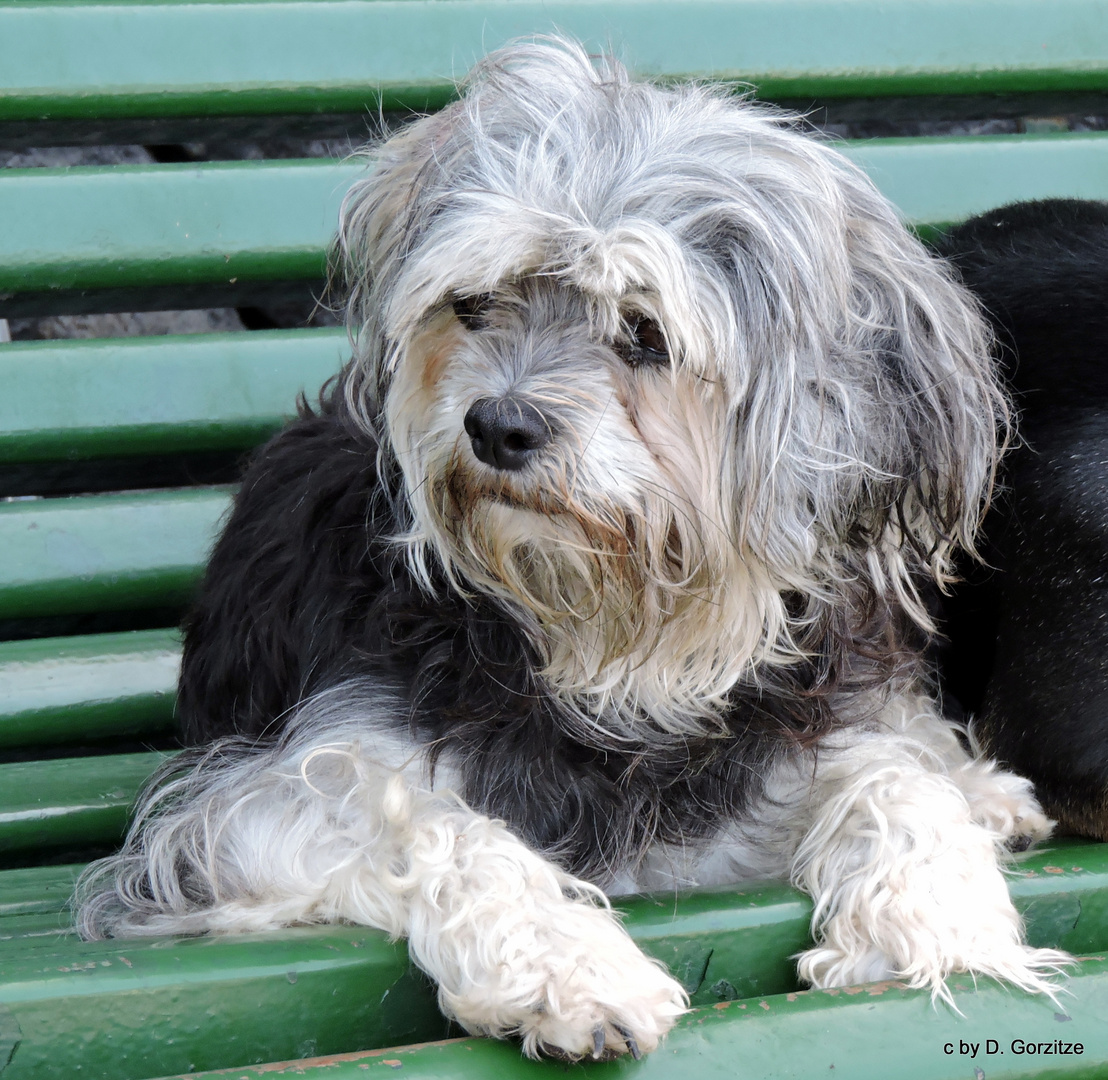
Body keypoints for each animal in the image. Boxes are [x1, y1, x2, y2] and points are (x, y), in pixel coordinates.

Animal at [75, 40, 1063, 1054]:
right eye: (473, 303)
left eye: (645, 332)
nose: (497, 425)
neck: (605, 647)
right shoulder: (241, 807)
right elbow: (423, 820)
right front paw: (568, 966)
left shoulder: (802, 738)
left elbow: (895, 774)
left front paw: (933, 913)